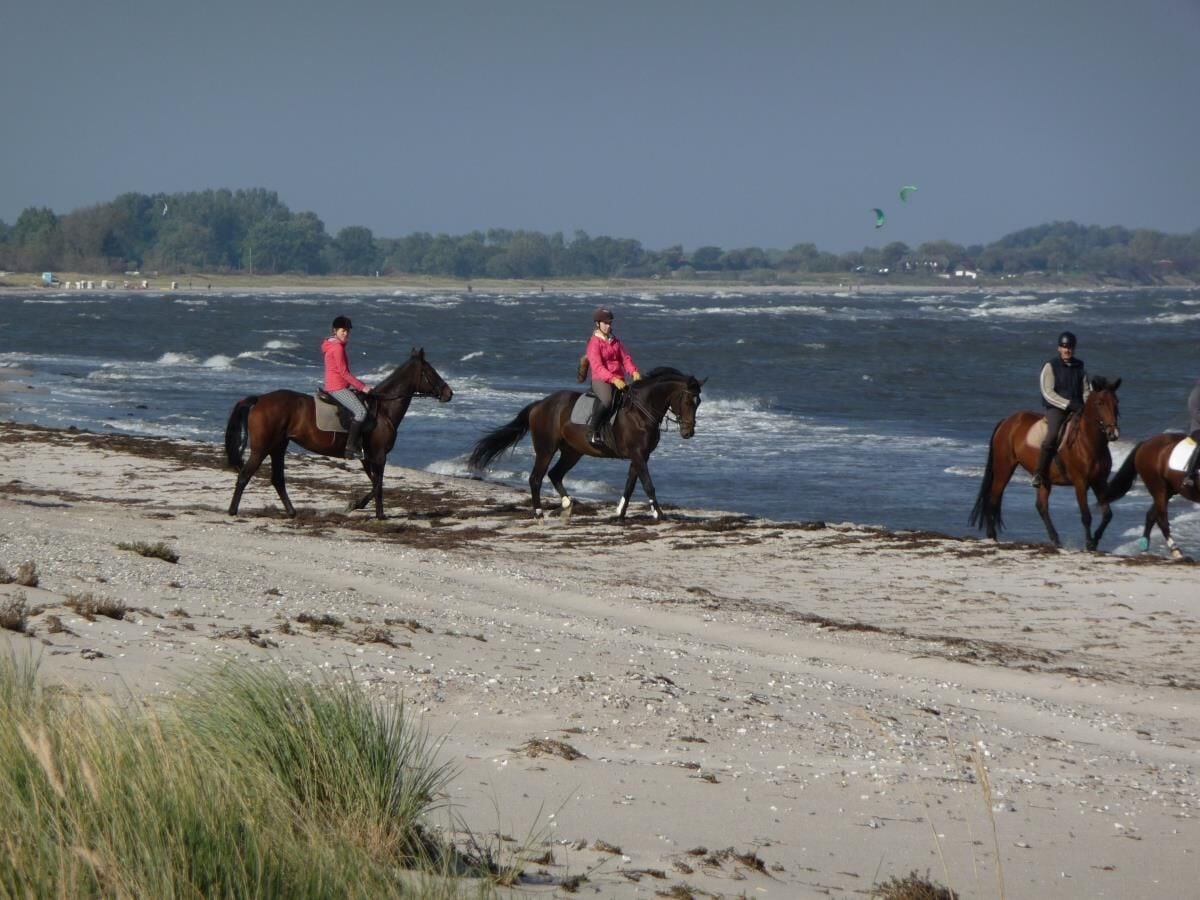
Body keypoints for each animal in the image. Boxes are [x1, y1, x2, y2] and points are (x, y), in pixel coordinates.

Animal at [223, 352, 451, 520]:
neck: (384, 410)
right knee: (245, 475)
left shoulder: (367, 457)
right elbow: (378, 484)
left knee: (277, 479)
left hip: (278, 447)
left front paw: (365, 507)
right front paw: (371, 511)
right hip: (262, 448)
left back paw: (291, 512)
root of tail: (259, 399)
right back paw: (233, 510)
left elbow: (374, 483)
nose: (449, 393)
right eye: (431, 371)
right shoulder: (379, 456)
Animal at [468, 367, 705, 520]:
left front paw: (619, 514)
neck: (641, 411)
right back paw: (539, 513)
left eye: (699, 402)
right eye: (687, 401)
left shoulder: (640, 456)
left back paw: (567, 504)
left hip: (572, 452)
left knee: (555, 474)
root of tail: (540, 404)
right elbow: (648, 484)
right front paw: (659, 514)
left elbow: (630, 485)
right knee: (536, 478)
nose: (688, 432)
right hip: (546, 449)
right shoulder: (638, 454)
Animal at [964, 379, 1123, 549]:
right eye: (1100, 403)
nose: (1113, 434)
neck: (1088, 443)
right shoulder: (1080, 483)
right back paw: (992, 536)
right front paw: (1088, 543)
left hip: (1044, 479)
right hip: (1004, 469)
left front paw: (1094, 541)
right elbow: (1086, 515)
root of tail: (1007, 421)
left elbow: (1107, 514)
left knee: (1041, 506)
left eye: (1116, 402)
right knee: (993, 499)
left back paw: (1056, 540)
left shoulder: (1100, 482)